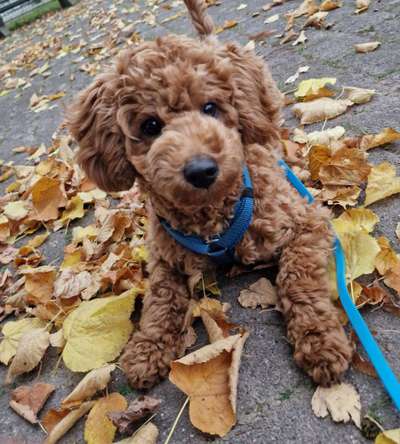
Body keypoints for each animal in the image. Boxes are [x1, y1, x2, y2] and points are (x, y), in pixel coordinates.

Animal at [66, 0, 354, 388]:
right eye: (150, 126)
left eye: (210, 108)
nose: (201, 170)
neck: (212, 218)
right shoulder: (165, 258)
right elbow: (161, 299)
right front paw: (148, 349)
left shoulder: (308, 224)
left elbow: (298, 278)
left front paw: (319, 339)